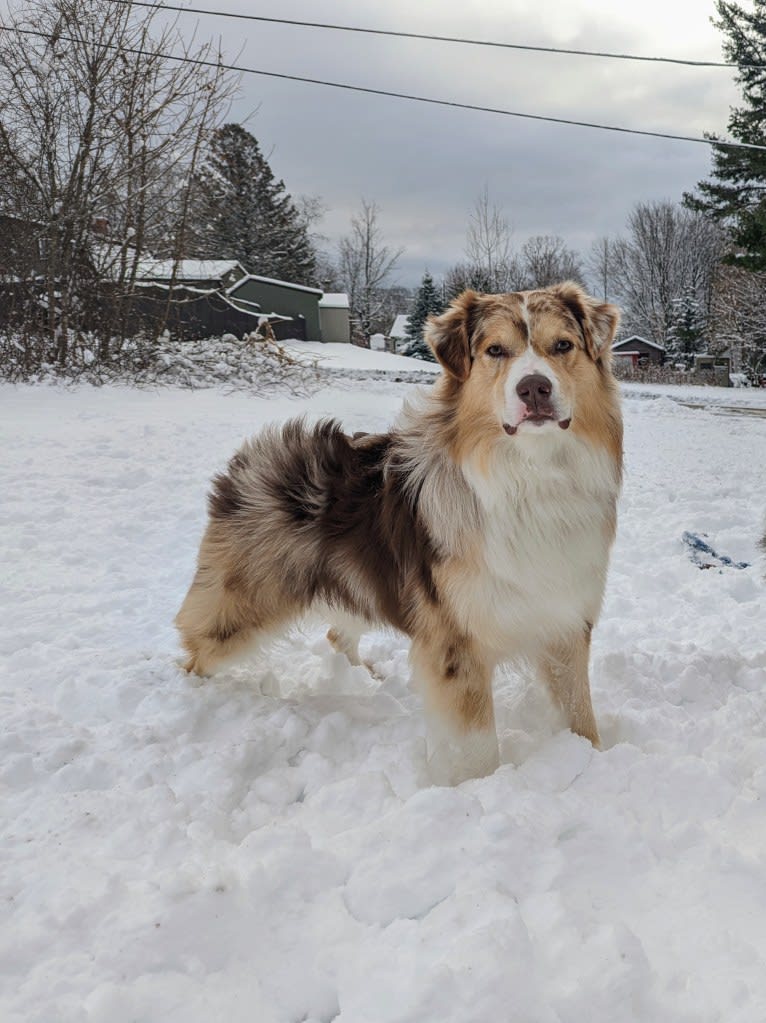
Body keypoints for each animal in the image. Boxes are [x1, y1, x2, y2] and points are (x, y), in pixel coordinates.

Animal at [174, 284, 621, 777]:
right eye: (495, 351)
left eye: (562, 345)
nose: (535, 387)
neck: (532, 474)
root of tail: (257, 453)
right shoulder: (455, 642)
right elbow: (476, 748)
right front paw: (476, 785)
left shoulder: (566, 617)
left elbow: (579, 712)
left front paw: (594, 758)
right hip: (243, 604)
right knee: (195, 648)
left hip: (354, 582)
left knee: (336, 634)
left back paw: (364, 679)